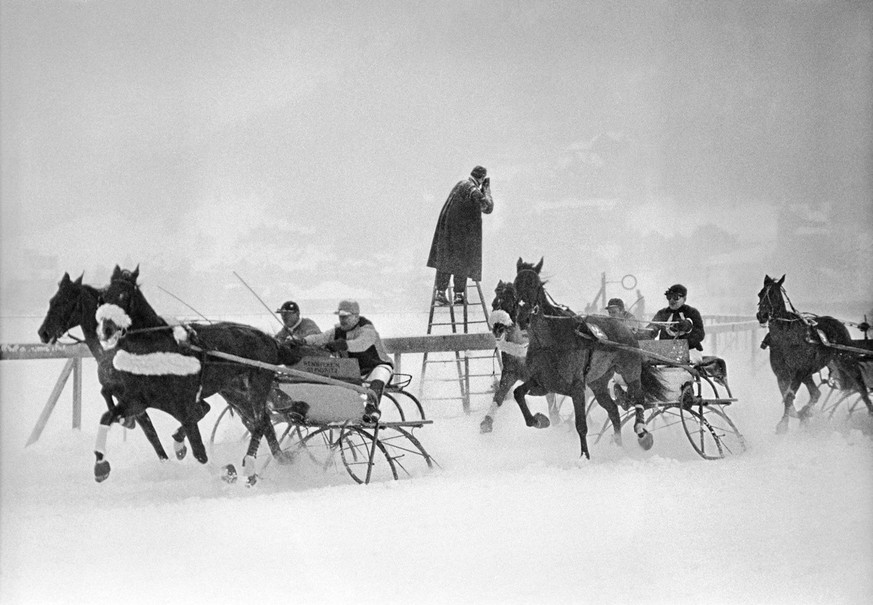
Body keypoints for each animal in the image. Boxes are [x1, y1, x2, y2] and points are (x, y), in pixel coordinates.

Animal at [37, 272, 174, 460]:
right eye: (52, 301)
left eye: (64, 301)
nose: (43, 333)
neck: (110, 351)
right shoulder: (122, 394)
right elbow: (146, 428)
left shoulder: (134, 395)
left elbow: (150, 431)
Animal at [94, 266, 306, 484]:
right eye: (103, 297)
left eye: (124, 295)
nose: (107, 329)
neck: (157, 352)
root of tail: (270, 340)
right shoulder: (137, 401)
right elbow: (107, 417)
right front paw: (101, 467)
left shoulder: (183, 406)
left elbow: (199, 452)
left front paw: (225, 471)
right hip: (234, 391)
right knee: (262, 421)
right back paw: (279, 458)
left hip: (258, 383)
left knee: (258, 422)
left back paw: (250, 467)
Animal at [476, 280, 560, 432]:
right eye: (493, 304)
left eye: (510, 303)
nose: (497, 328)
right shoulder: (510, 372)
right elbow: (499, 395)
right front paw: (487, 422)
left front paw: (540, 420)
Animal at [510, 256, 668, 458]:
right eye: (515, 285)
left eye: (536, 285)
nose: (523, 318)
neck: (549, 342)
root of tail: (625, 327)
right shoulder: (543, 384)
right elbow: (518, 393)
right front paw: (539, 420)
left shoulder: (576, 387)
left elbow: (581, 425)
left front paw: (584, 457)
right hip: (598, 382)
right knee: (613, 410)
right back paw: (618, 446)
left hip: (630, 369)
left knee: (638, 397)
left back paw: (642, 433)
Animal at [752, 274, 868, 430]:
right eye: (761, 293)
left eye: (775, 294)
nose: (762, 315)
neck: (786, 339)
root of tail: (837, 322)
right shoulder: (782, 373)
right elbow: (788, 397)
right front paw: (801, 415)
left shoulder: (799, 371)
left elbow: (789, 396)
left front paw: (784, 424)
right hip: (811, 372)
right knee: (816, 393)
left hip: (845, 360)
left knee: (861, 388)